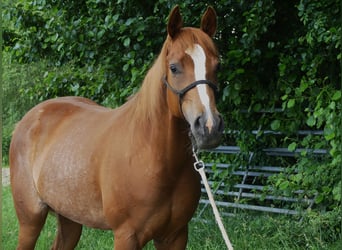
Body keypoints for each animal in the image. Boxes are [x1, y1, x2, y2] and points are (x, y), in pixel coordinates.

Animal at [9, 6, 223, 250]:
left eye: (217, 66)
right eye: (174, 67)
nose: (209, 126)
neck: (153, 155)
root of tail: (28, 119)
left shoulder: (175, 235)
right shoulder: (126, 235)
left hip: (70, 219)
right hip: (30, 219)